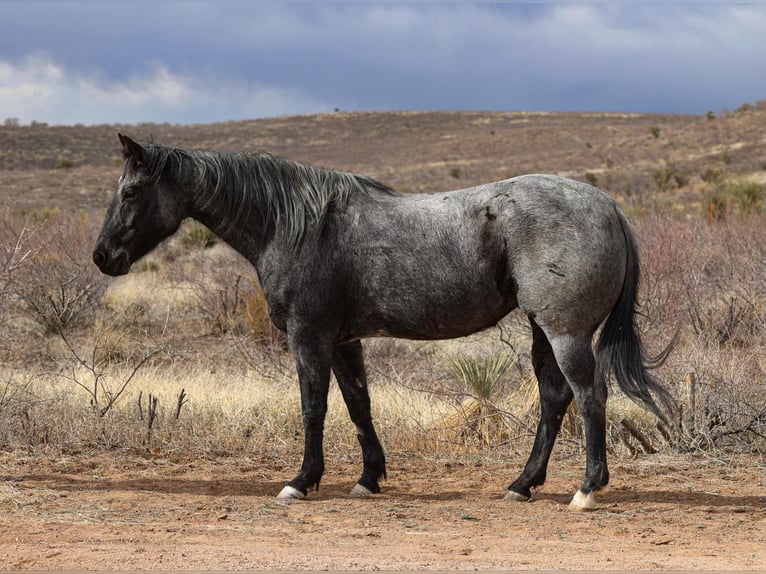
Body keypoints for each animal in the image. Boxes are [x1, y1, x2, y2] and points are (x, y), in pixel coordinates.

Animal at [93, 134, 674, 510]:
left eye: (130, 193)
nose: (102, 257)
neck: (298, 225)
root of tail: (608, 206)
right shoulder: (344, 342)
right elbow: (358, 407)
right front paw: (369, 478)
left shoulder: (309, 338)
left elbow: (313, 409)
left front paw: (301, 481)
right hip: (541, 331)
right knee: (555, 399)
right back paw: (522, 484)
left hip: (564, 332)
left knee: (590, 395)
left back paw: (587, 489)